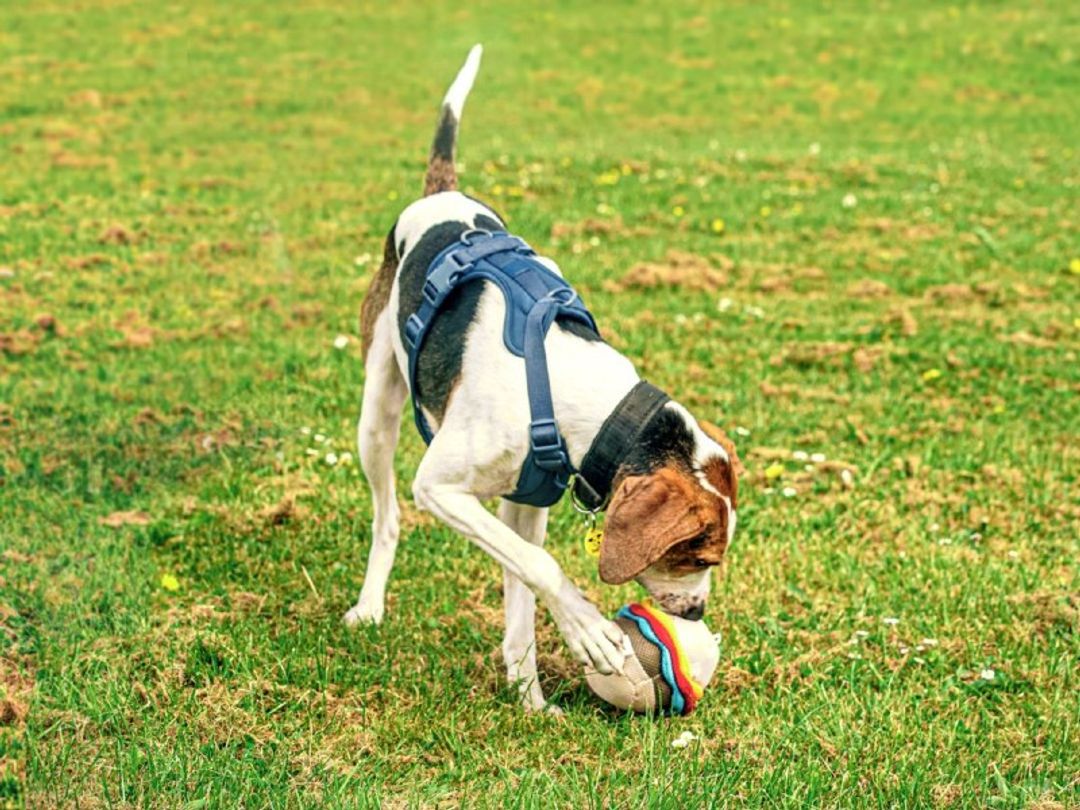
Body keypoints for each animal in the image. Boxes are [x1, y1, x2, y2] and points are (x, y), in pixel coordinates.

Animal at [347, 47, 743, 712]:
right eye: (697, 553)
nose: (697, 612)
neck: (567, 389)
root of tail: (441, 194)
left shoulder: (524, 506)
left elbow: (523, 591)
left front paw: (529, 699)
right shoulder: (441, 488)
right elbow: (543, 567)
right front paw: (591, 633)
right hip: (376, 416)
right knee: (388, 516)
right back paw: (370, 604)